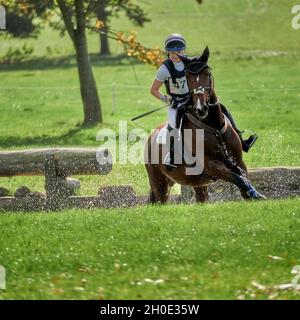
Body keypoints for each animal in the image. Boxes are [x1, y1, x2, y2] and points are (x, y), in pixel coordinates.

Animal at [144, 45, 266, 202]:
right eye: (187, 77)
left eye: (207, 73)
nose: (201, 108)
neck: (214, 127)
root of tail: (150, 137)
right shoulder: (211, 165)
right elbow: (239, 179)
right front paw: (255, 194)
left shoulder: (238, 161)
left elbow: (243, 180)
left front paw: (255, 194)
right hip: (159, 182)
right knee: (160, 199)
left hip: (195, 182)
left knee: (201, 196)